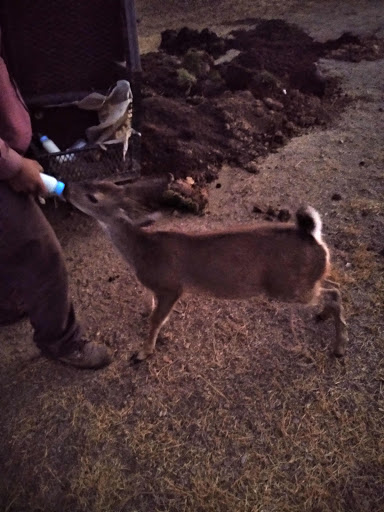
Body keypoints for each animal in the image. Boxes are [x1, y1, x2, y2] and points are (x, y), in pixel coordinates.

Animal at [65, 180, 348, 364]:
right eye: (94, 181)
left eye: (93, 197)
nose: (66, 188)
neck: (140, 253)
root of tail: (313, 236)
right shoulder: (154, 285)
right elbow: (149, 307)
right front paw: (145, 319)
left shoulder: (171, 286)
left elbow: (156, 320)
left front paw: (143, 352)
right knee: (333, 289)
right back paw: (326, 321)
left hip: (289, 286)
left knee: (333, 293)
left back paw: (339, 347)